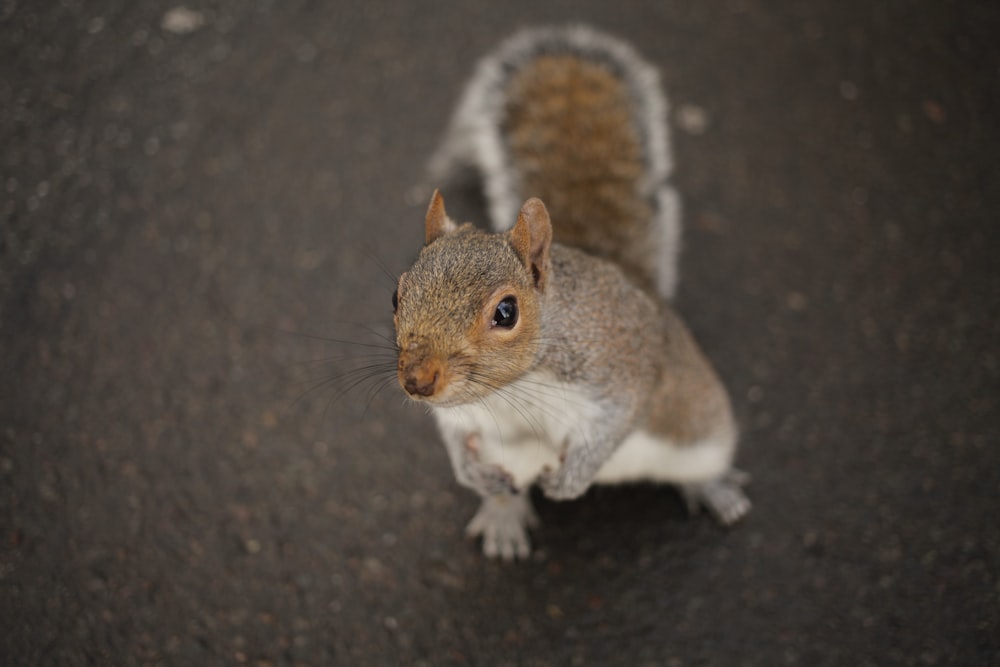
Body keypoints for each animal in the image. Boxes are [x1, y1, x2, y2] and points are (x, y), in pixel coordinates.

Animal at [390, 24, 752, 560]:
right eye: (396, 295)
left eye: (506, 312)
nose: (417, 382)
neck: (516, 384)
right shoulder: (462, 414)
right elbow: (454, 435)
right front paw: (471, 472)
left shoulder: (620, 369)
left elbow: (618, 420)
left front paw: (569, 481)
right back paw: (503, 514)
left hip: (702, 429)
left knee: (701, 461)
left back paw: (714, 490)